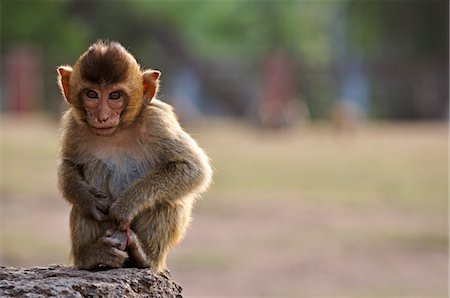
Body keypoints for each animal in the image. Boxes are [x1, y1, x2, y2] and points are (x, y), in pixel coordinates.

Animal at [55, 40, 211, 274]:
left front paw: (126, 205)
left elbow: (192, 168)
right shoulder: (74, 125)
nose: (102, 117)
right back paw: (90, 257)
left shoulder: (157, 121)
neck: (119, 130)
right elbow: (69, 164)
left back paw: (144, 256)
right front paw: (86, 197)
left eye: (115, 96)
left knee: (169, 201)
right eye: (91, 94)